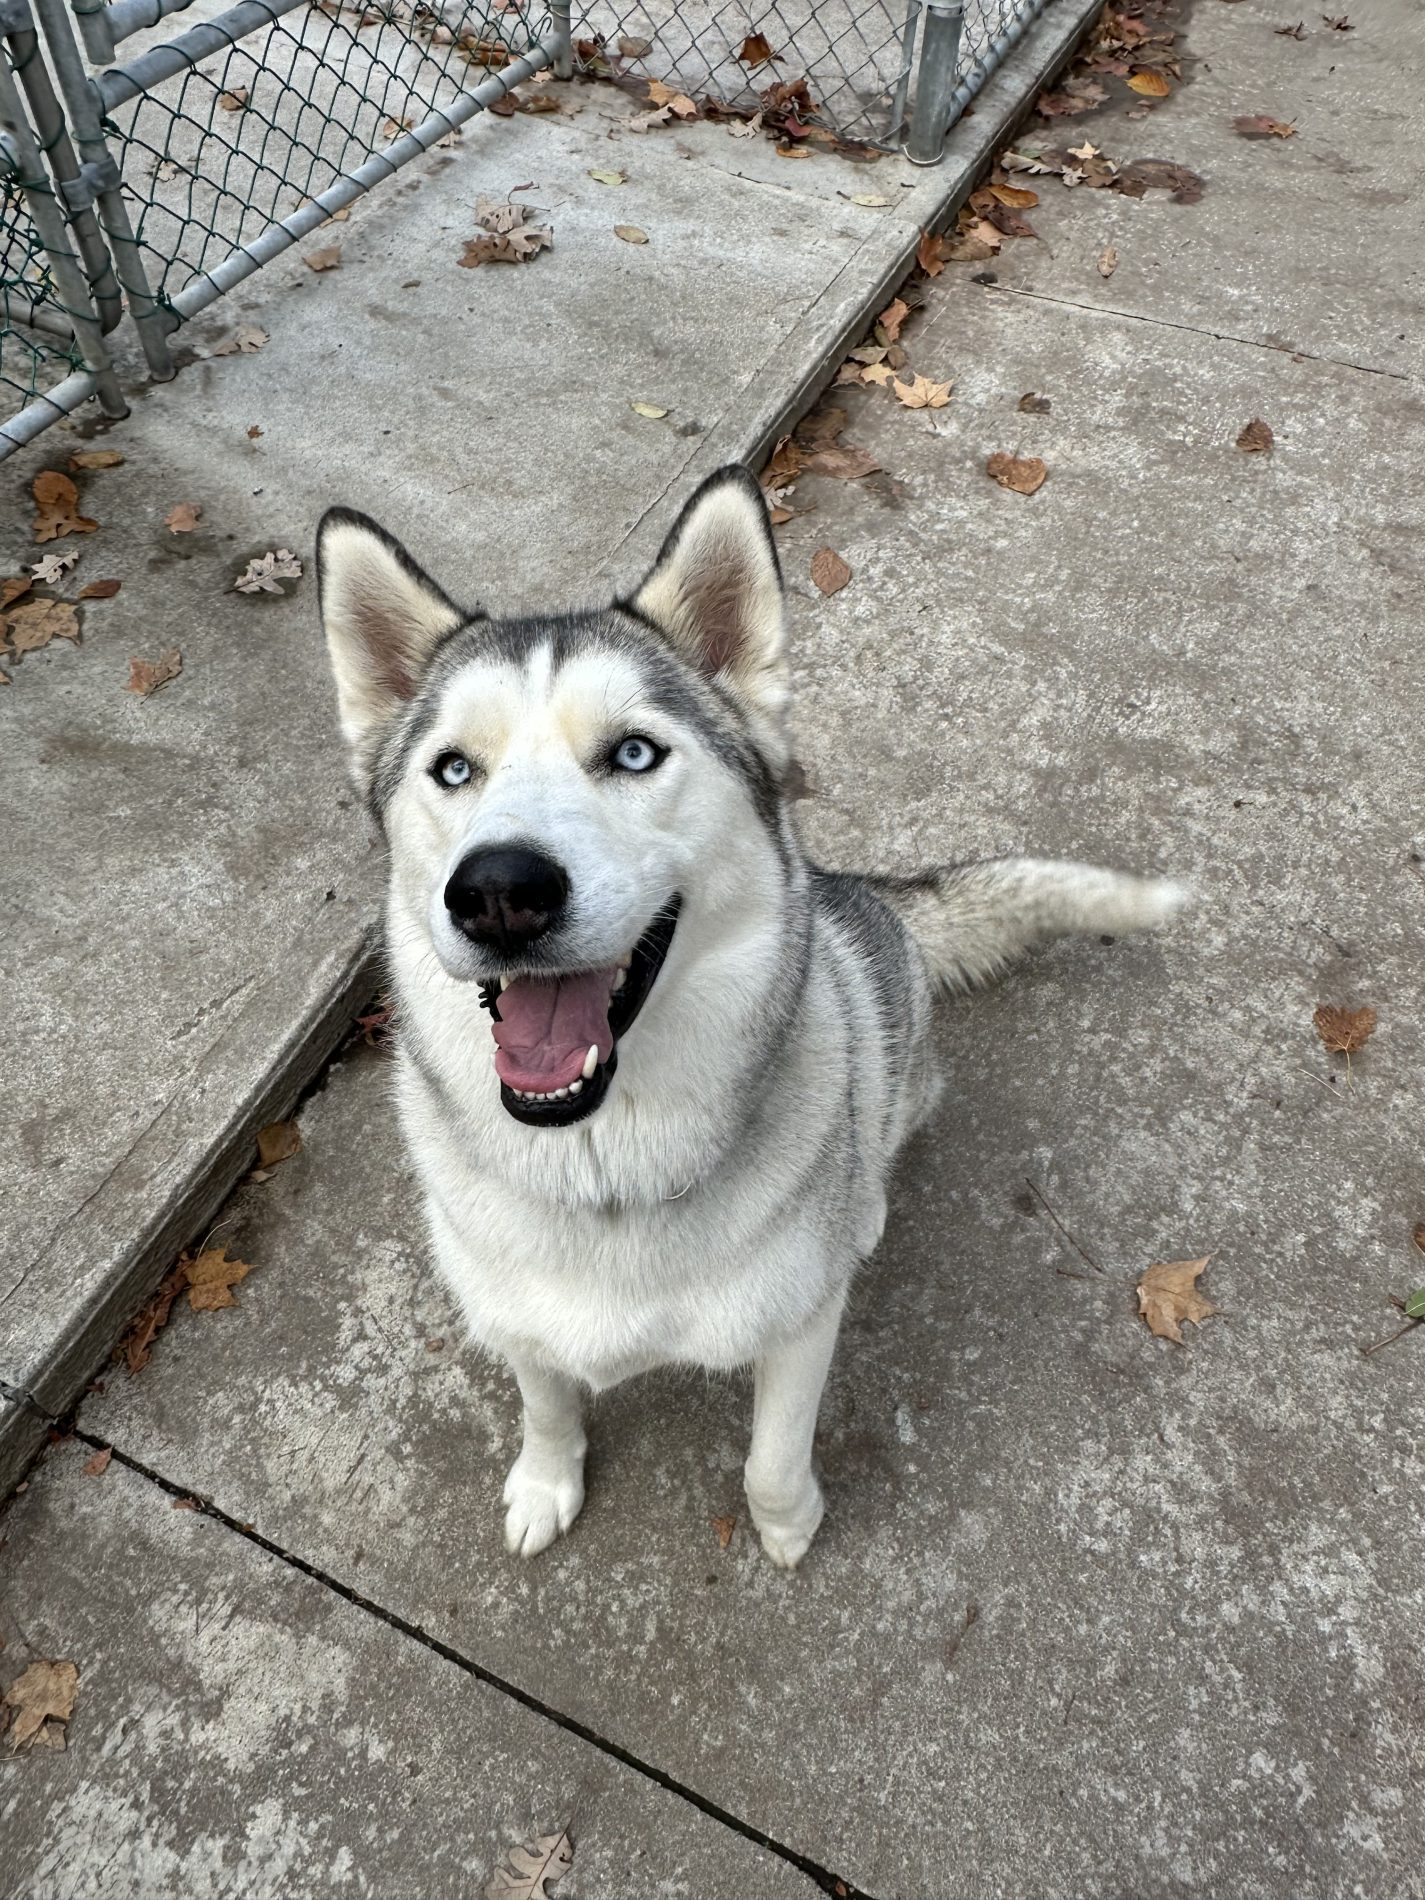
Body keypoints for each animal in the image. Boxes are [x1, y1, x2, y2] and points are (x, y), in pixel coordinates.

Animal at [316, 464, 1184, 1568]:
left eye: (633, 753)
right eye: (453, 769)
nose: (499, 891)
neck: (606, 1170)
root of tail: (860, 890)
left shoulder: (800, 1323)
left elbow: (772, 1452)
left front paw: (786, 1527)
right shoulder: (515, 1315)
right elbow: (546, 1401)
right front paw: (546, 1482)